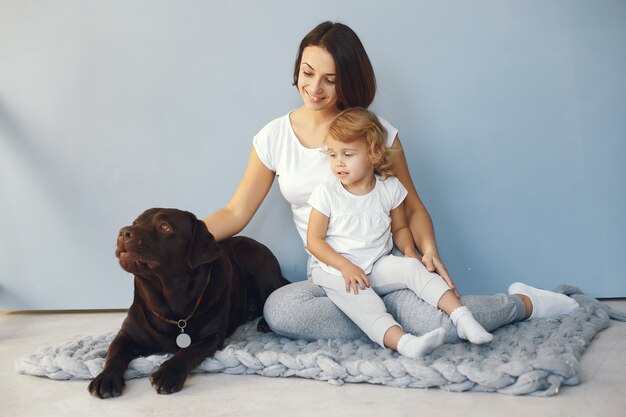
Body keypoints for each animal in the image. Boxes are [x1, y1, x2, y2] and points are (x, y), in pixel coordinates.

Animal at [88, 208, 288, 396]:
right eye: (135, 223)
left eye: (164, 227)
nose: (123, 232)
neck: (171, 308)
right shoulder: (127, 335)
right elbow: (114, 354)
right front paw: (105, 378)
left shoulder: (212, 337)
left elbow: (188, 352)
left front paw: (167, 373)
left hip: (255, 261)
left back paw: (264, 323)